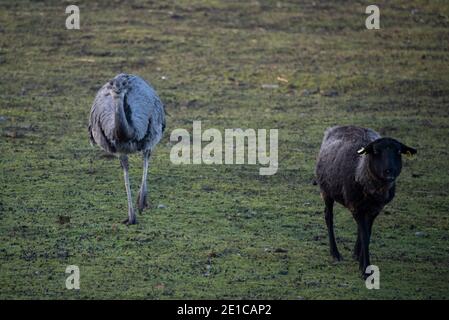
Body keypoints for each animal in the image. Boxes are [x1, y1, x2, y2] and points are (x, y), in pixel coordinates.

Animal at [314, 125, 414, 278]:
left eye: (398, 152)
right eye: (376, 151)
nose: (389, 172)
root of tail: (336, 127)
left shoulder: (375, 209)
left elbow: (367, 233)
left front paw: (361, 259)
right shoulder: (355, 207)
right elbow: (365, 235)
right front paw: (365, 268)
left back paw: (355, 253)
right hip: (326, 191)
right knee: (328, 217)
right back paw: (335, 253)